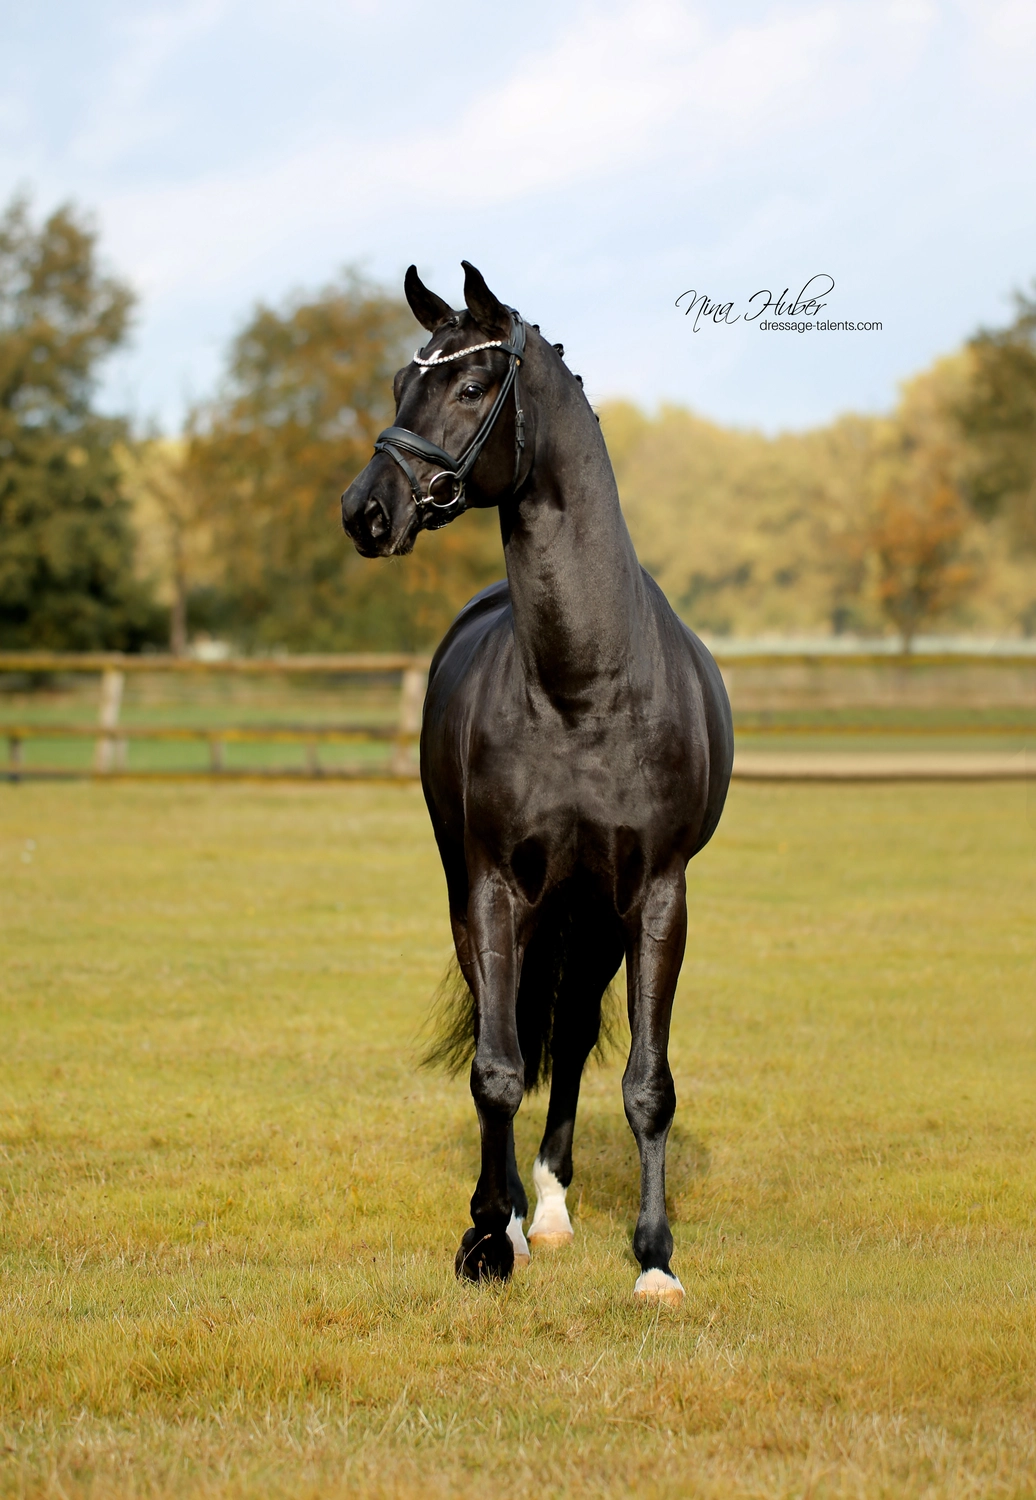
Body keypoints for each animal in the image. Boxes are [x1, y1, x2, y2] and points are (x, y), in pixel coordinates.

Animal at [341, 262, 733, 1306]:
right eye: (401, 382)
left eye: (474, 386)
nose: (365, 511)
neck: (585, 686)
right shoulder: (491, 887)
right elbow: (496, 1069)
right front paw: (487, 1233)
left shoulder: (658, 896)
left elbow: (646, 1082)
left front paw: (655, 1259)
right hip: (500, 901)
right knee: (519, 1026)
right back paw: (523, 1211)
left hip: (588, 914)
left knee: (570, 1029)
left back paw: (554, 1204)